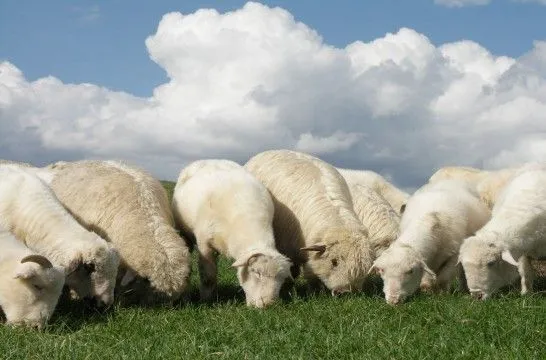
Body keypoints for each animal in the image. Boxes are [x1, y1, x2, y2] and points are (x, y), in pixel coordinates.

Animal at [170, 159, 292, 308]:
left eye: (282, 279)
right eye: (256, 272)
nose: (268, 305)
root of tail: (210, 160)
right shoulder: (204, 243)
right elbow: (208, 277)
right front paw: (206, 300)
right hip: (184, 231)